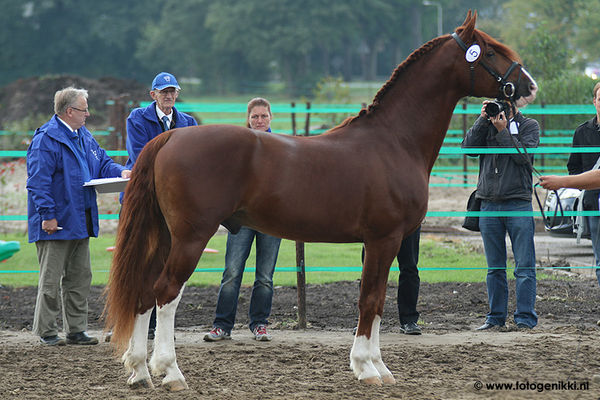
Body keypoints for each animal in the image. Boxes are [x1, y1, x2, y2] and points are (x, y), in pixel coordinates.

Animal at [104, 12, 540, 390]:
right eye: (490, 50)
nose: (530, 86)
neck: (394, 141)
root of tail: (170, 136)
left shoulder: (378, 243)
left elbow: (376, 300)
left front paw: (377, 366)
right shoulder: (383, 239)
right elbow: (370, 299)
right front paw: (367, 368)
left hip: (164, 236)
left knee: (143, 292)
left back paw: (139, 371)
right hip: (192, 237)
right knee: (165, 293)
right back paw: (170, 372)